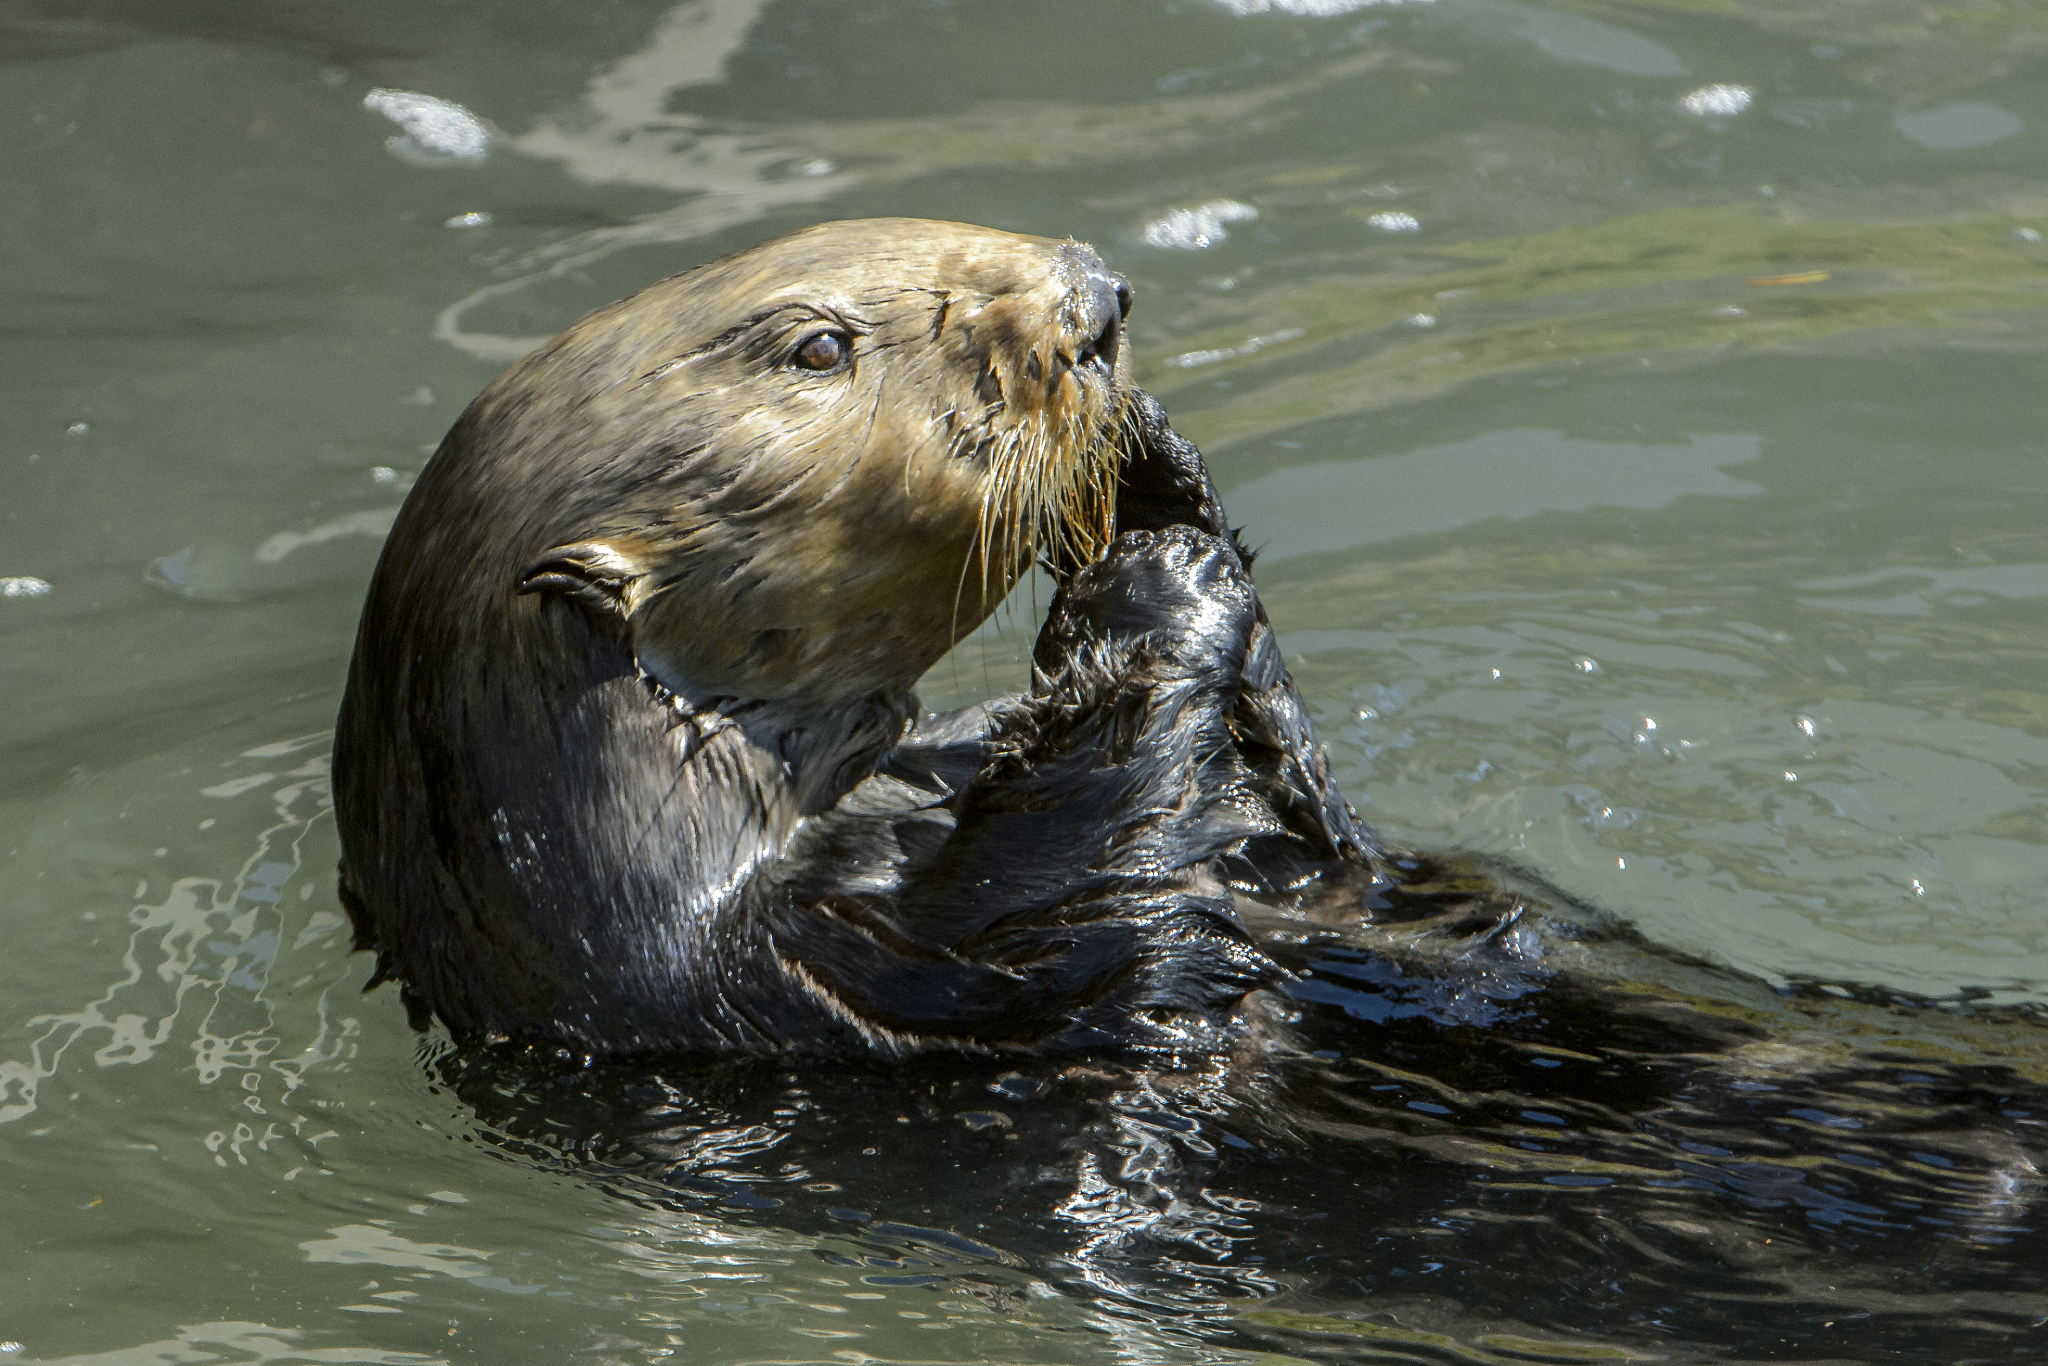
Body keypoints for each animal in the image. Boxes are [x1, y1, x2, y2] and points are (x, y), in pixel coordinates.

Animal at [333, 218, 1385, 1057]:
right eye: (820, 348)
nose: (1095, 297)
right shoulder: (839, 981)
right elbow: (1085, 919)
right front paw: (1153, 582)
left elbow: (1327, 850)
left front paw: (1157, 469)